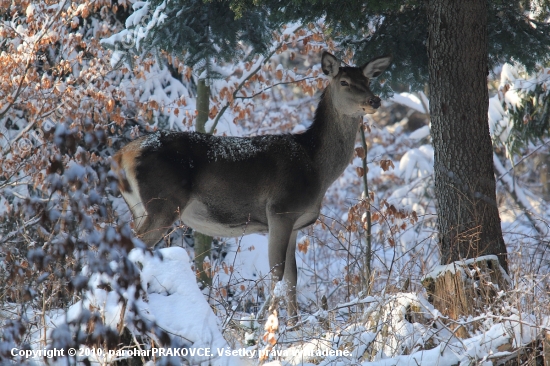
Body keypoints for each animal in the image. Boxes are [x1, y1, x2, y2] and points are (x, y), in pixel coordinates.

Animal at [114, 51, 394, 324]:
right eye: (344, 82)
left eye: (367, 80)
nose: (375, 100)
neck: (316, 168)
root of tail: (121, 155)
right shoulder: (280, 210)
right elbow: (277, 273)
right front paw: (270, 325)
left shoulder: (296, 223)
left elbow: (292, 277)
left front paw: (294, 325)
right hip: (162, 203)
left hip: (139, 208)